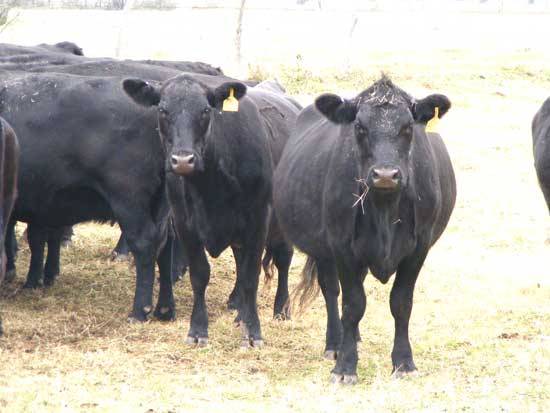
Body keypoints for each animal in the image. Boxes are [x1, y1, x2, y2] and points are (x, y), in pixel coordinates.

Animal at [0, 71, 176, 320]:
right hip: (160, 204)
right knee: (166, 242)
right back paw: (165, 308)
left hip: (130, 201)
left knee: (144, 242)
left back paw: (139, 311)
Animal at [123, 74, 302, 344]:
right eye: (163, 110)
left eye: (205, 110)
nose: (183, 160)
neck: (211, 186)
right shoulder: (185, 223)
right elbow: (200, 275)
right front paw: (198, 330)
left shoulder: (258, 219)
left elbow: (251, 277)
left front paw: (253, 332)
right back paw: (239, 311)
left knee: (282, 260)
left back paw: (281, 309)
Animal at [274, 76, 460, 384]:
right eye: (359, 127)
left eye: (408, 127)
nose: (385, 175)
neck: (384, 209)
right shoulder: (342, 247)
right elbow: (352, 304)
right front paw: (345, 366)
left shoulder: (418, 248)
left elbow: (401, 303)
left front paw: (404, 362)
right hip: (324, 252)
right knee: (331, 291)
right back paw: (335, 343)